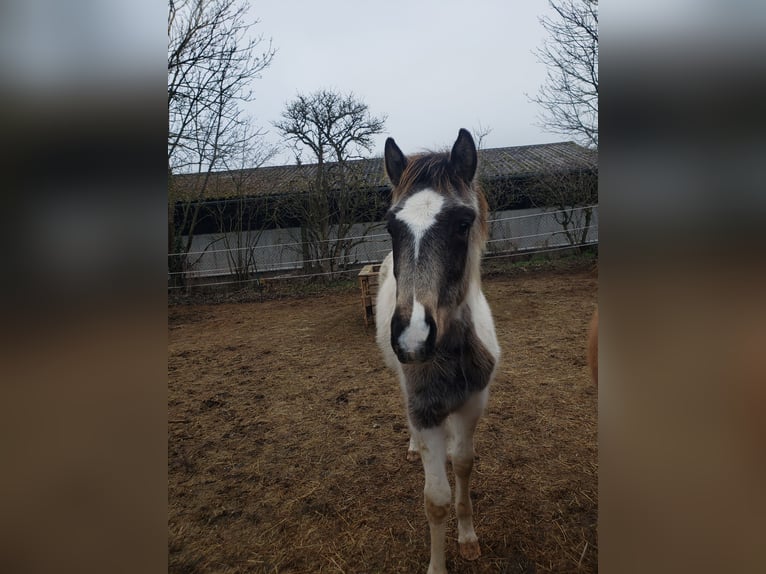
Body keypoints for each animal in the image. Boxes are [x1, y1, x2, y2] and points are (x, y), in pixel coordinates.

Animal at [378, 128, 504, 572]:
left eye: (463, 224)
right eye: (391, 226)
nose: (413, 338)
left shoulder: (472, 404)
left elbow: (464, 465)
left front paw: (468, 538)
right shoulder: (425, 410)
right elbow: (435, 501)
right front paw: (437, 565)